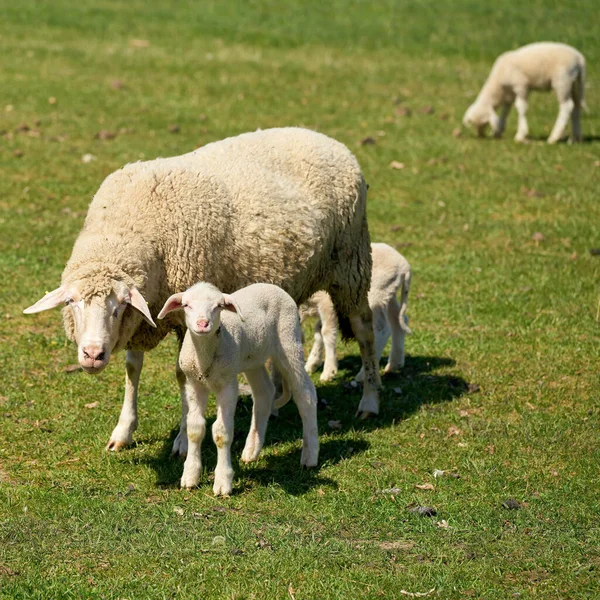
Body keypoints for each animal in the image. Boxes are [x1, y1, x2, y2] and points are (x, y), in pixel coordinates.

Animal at [22, 126, 380, 454]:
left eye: (118, 306)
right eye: (72, 302)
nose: (93, 355)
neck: (126, 227)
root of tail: (326, 139)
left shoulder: (181, 317)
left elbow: (182, 377)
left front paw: (182, 439)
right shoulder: (145, 313)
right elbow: (132, 369)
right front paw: (123, 431)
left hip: (351, 265)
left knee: (365, 332)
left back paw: (370, 400)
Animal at [158, 284, 318, 494]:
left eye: (219, 306)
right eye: (186, 305)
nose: (202, 324)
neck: (205, 358)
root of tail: (271, 285)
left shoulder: (228, 384)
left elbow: (221, 432)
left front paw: (222, 482)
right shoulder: (194, 384)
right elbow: (195, 428)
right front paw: (190, 476)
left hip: (289, 340)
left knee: (305, 394)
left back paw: (310, 456)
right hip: (253, 358)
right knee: (264, 393)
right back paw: (251, 451)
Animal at [300, 244, 412, 384]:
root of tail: (404, 265)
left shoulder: (327, 303)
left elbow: (326, 332)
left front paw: (328, 371)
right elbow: (318, 331)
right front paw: (313, 363)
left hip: (374, 296)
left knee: (382, 329)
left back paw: (363, 374)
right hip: (388, 293)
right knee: (399, 320)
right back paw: (394, 364)